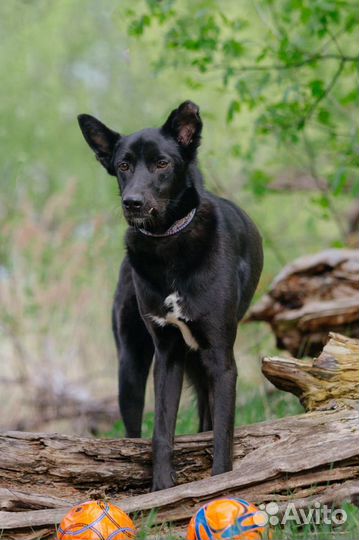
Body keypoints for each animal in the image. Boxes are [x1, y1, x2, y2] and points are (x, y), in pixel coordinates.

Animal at [78, 100, 264, 490]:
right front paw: (161, 488)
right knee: (133, 432)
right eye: (123, 166)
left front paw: (219, 484)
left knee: (207, 417)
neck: (168, 243)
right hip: (130, 366)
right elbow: (161, 430)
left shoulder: (221, 359)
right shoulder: (166, 356)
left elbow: (222, 433)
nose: (132, 202)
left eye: (162, 163)